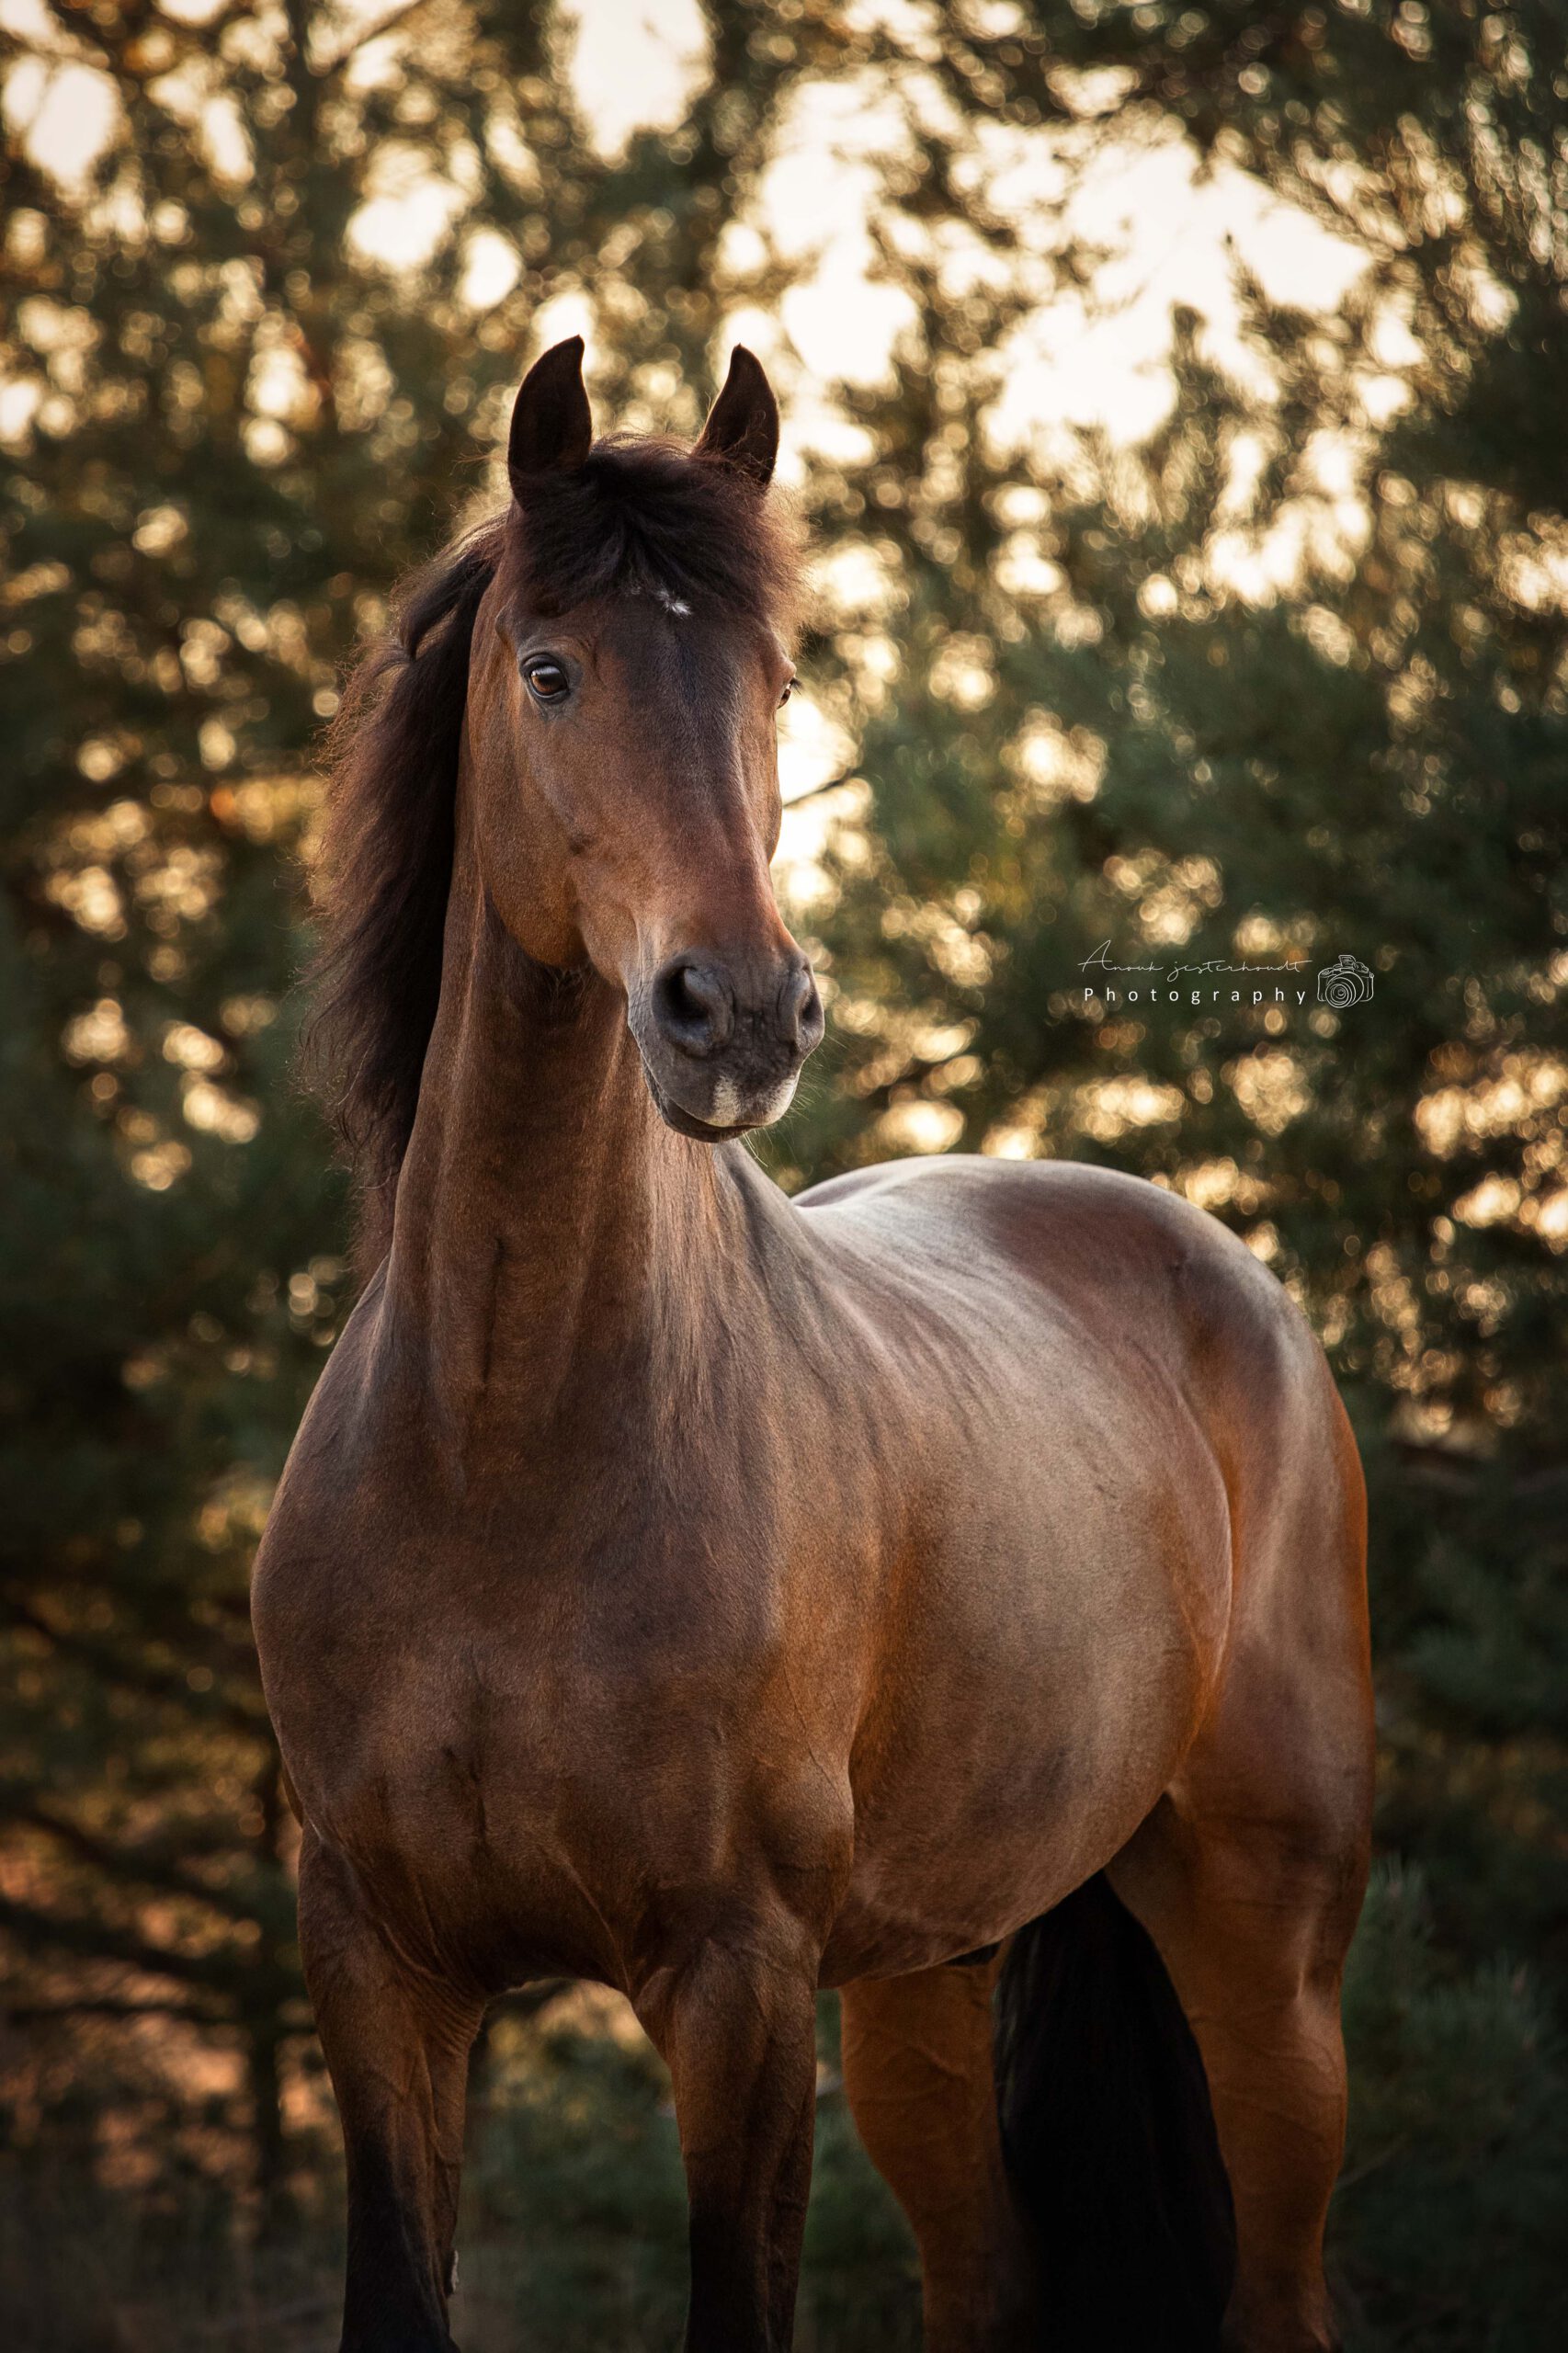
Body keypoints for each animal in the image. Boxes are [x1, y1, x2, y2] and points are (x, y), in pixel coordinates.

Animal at [252, 338, 1374, 2353]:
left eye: (772, 681)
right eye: (549, 667)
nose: (743, 1010)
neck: (500, 1443)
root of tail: (1226, 1284)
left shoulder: (738, 1983)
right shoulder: (376, 1965)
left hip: (1267, 1951)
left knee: (1279, 2287)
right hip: (929, 1976)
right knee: (983, 2278)